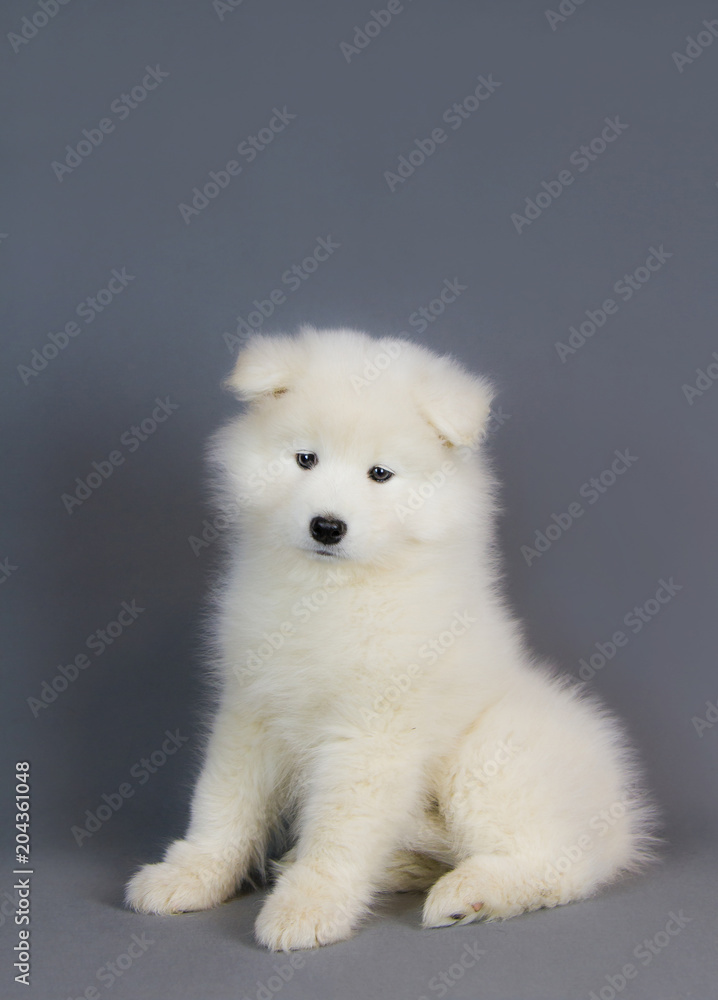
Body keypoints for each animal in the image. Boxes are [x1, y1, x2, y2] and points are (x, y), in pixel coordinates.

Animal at [126, 324, 660, 948]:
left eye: (379, 474)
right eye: (305, 458)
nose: (327, 526)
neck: (331, 593)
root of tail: (621, 820)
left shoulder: (372, 731)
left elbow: (339, 830)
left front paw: (309, 906)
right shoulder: (251, 708)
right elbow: (222, 804)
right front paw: (191, 874)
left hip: (492, 756)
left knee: (556, 864)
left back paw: (470, 893)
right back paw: (397, 869)